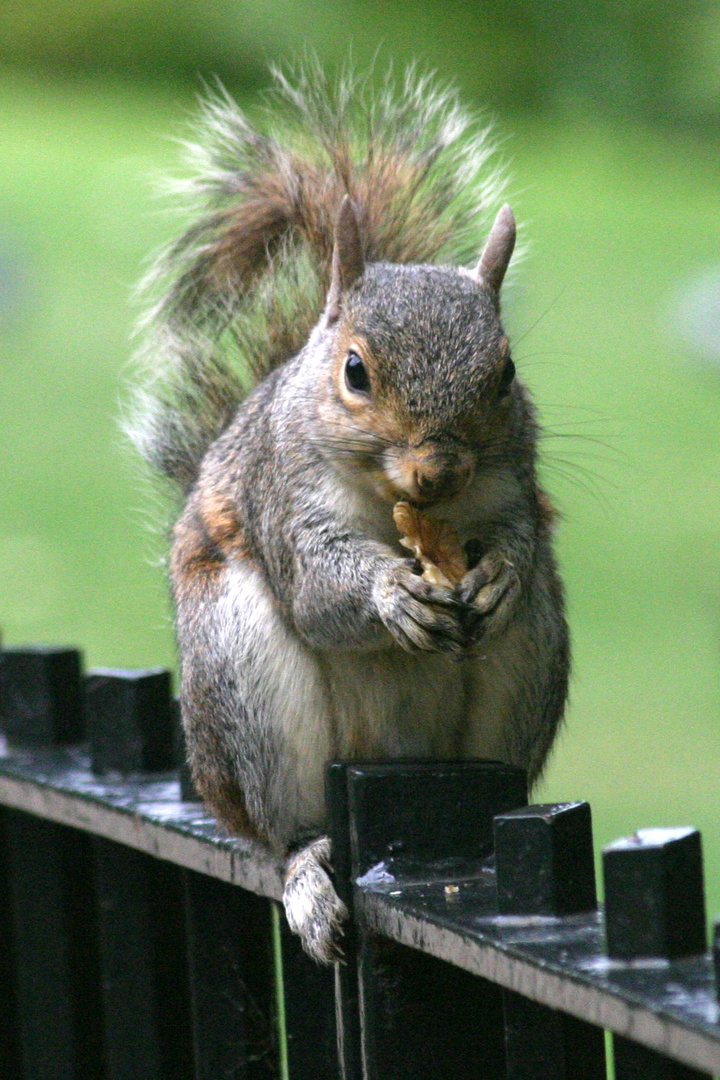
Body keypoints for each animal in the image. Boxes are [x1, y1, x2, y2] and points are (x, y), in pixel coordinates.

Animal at [127, 65, 569, 963]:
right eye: (355, 371)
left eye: (506, 374)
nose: (439, 468)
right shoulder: (285, 496)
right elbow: (319, 588)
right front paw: (390, 595)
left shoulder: (510, 483)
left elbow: (514, 537)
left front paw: (498, 573)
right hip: (242, 682)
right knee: (286, 832)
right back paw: (307, 872)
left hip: (524, 677)